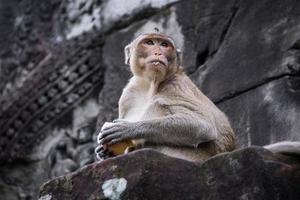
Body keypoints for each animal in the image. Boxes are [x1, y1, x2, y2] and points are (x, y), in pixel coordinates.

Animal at [95, 31, 236, 162]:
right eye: (149, 42)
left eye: (164, 45)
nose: (158, 53)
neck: (150, 84)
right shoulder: (128, 94)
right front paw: (103, 151)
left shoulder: (175, 85)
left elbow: (203, 125)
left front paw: (126, 129)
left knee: (158, 104)